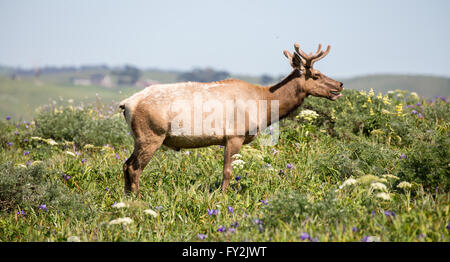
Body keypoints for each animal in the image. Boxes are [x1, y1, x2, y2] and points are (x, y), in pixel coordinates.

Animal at [120, 42, 344, 194]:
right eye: (316, 74)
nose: (340, 84)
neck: (263, 103)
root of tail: (126, 103)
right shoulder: (234, 134)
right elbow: (227, 171)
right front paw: (223, 195)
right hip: (151, 134)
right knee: (134, 167)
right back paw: (138, 198)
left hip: (141, 137)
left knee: (125, 163)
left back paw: (127, 197)